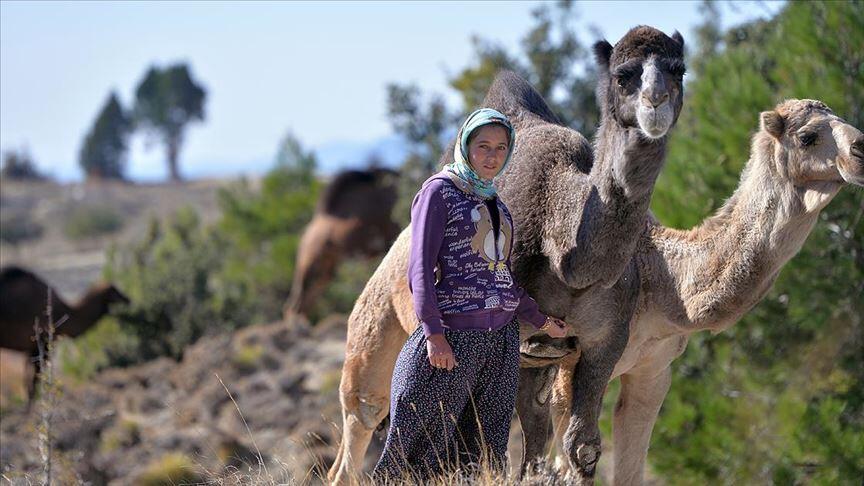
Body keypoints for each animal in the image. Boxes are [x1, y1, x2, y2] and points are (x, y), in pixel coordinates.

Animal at [0, 266, 130, 402]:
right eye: (115, 290)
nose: (128, 299)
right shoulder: (41, 345)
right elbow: (33, 384)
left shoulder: (31, 349)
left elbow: (30, 383)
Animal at [328, 25, 686, 484]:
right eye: (623, 74)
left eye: (678, 69)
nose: (656, 103)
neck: (566, 255)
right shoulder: (513, 343)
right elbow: (491, 445)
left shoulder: (605, 340)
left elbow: (582, 446)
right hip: (373, 333)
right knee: (364, 416)